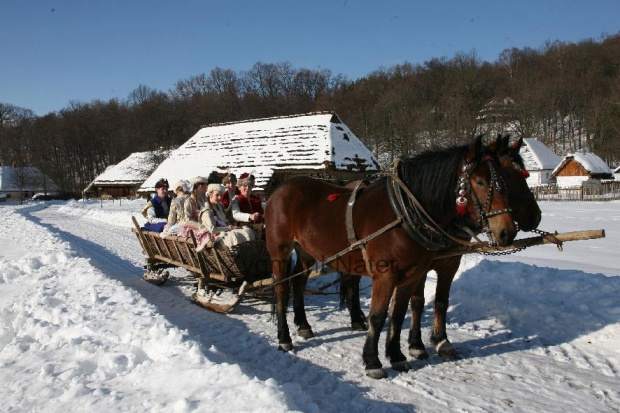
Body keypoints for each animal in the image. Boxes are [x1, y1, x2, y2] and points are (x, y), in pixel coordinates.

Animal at [264, 135, 516, 376]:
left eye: (504, 181)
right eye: (480, 182)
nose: (508, 232)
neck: (403, 214)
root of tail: (281, 189)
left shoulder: (412, 275)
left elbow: (399, 313)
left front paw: (397, 356)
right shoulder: (385, 275)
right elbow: (378, 316)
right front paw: (372, 361)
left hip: (306, 251)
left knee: (298, 282)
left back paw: (304, 325)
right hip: (280, 250)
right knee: (281, 289)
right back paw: (284, 338)